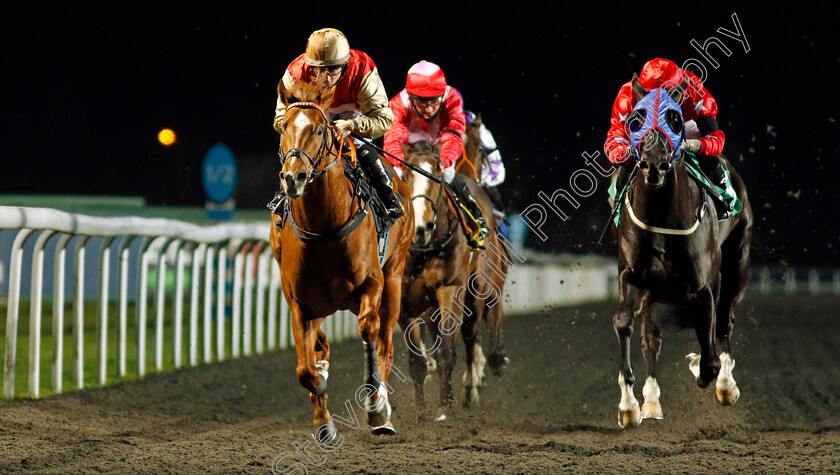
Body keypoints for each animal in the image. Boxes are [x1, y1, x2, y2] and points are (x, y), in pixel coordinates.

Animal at [270, 80, 414, 440]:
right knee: (321, 344)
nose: (293, 177)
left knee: (385, 343)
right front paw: (323, 419)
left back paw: (383, 411)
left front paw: (376, 409)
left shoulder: (372, 283)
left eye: (321, 129)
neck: (325, 229)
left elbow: (368, 330)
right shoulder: (299, 304)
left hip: (394, 279)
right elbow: (305, 370)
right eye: (284, 127)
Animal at [398, 140, 508, 420]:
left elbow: (447, 351)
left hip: (480, 286)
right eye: (405, 174)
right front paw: (421, 412)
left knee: (474, 331)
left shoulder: (450, 289)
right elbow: (416, 362)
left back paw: (481, 376)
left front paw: (444, 408)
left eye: (437, 173)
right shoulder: (404, 299)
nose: (421, 226)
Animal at [612, 78, 756, 428]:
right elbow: (625, 323)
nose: (654, 162)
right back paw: (651, 400)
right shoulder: (633, 276)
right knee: (652, 337)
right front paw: (629, 405)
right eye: (635, 119)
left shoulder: (702, 287)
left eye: (675, 120)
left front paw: (706, 370)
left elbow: (709, 357)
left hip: (737, 261)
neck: (662, 220)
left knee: (723, 320)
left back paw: (725, 384)